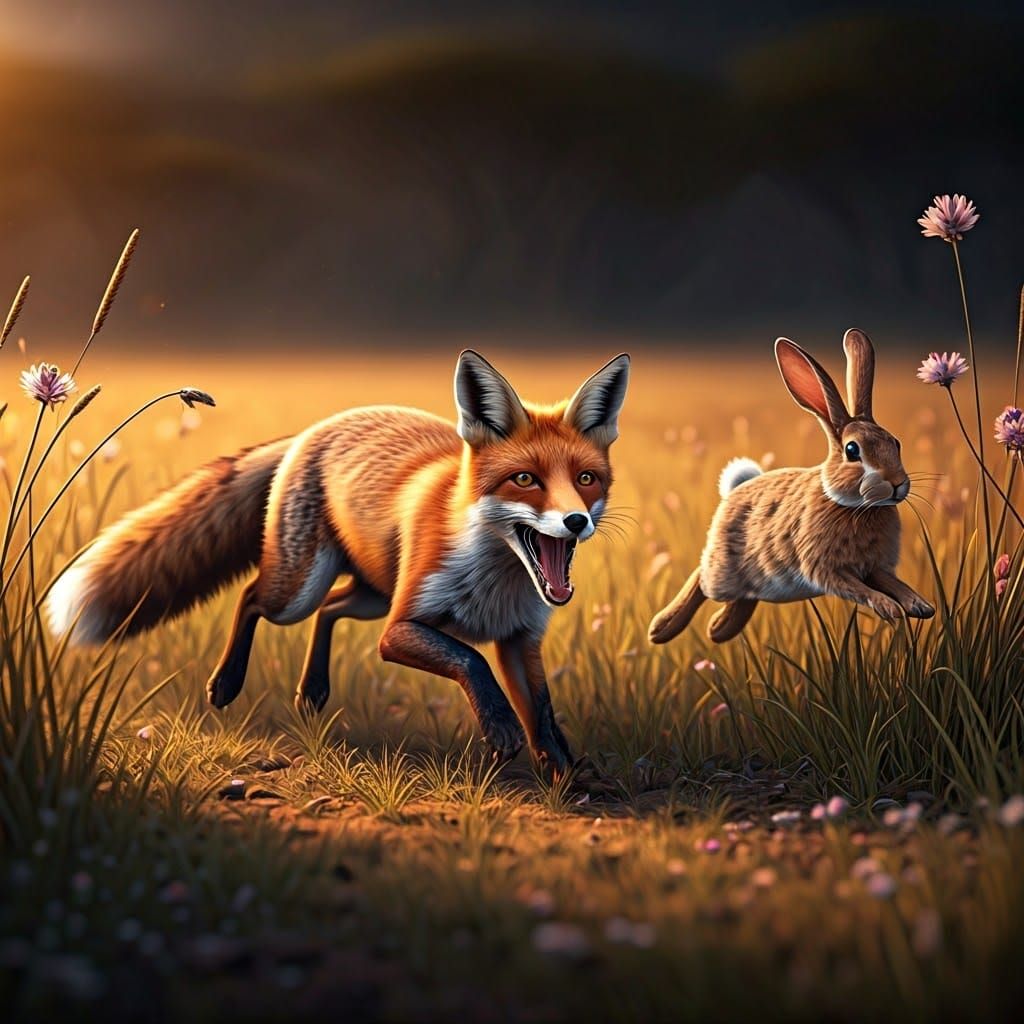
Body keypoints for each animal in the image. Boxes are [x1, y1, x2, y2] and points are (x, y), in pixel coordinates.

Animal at [46, 350, 630, 772]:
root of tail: (317, 427)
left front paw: (564, 777)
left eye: (586, 479)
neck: (498, 582)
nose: (576, 521)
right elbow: (470, 660)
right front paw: (501, 730)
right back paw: (227, 682)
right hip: (302, 591)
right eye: (525, 479)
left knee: (329, 609)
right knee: (254, 597)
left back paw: (313, 690)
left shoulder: (518, 638)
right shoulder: (400, 629)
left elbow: (543, 711)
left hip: (370, 592)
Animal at [649, 328, 935, 645]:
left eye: (895, 443)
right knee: (700, 578)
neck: (854, 506)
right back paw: (662, 628)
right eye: (852, 450)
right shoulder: (827, 568)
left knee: (742, 599)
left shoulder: (875, 567)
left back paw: (718, 629)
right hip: (723, 569)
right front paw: (889, 607)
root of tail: (736, 488)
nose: (896, 484)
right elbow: (860, 590)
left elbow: (895, 583)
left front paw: (920, 605)